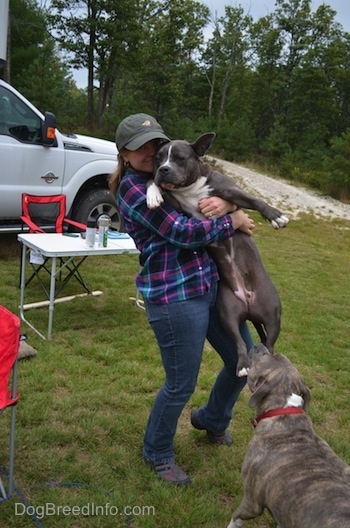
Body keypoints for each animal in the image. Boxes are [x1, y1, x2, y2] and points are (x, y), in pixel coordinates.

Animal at [146, 134, 288, 378]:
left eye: (179, 158)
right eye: (158, 158)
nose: (164, 169)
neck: (190, 189)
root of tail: (249, 304)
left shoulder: (230, 192)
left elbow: (254, 200)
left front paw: (276, 216)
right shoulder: (178, 207)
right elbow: (151, 182)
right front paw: (152, 195)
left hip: (272, 316)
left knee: (269, 344)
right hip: (228, 313)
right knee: (240, 342)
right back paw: (242, 365)